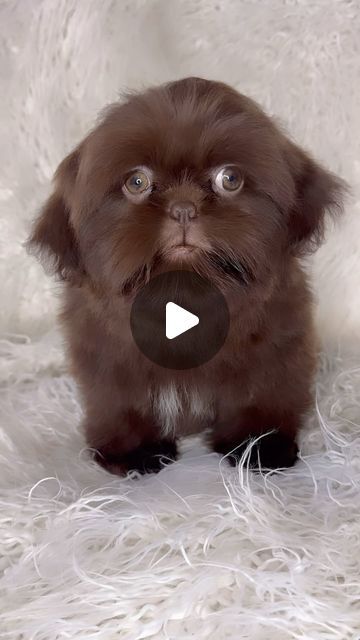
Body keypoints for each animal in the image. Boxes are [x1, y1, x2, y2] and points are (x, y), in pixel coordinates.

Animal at [27, 76, 344, 476]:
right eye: (136, 182)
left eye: (230, 178)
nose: (183, 208)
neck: (184, 294)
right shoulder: (108, 356)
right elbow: (120, 400)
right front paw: (136, 449)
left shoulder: (275, 345)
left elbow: (263, 392)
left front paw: (259, 444)